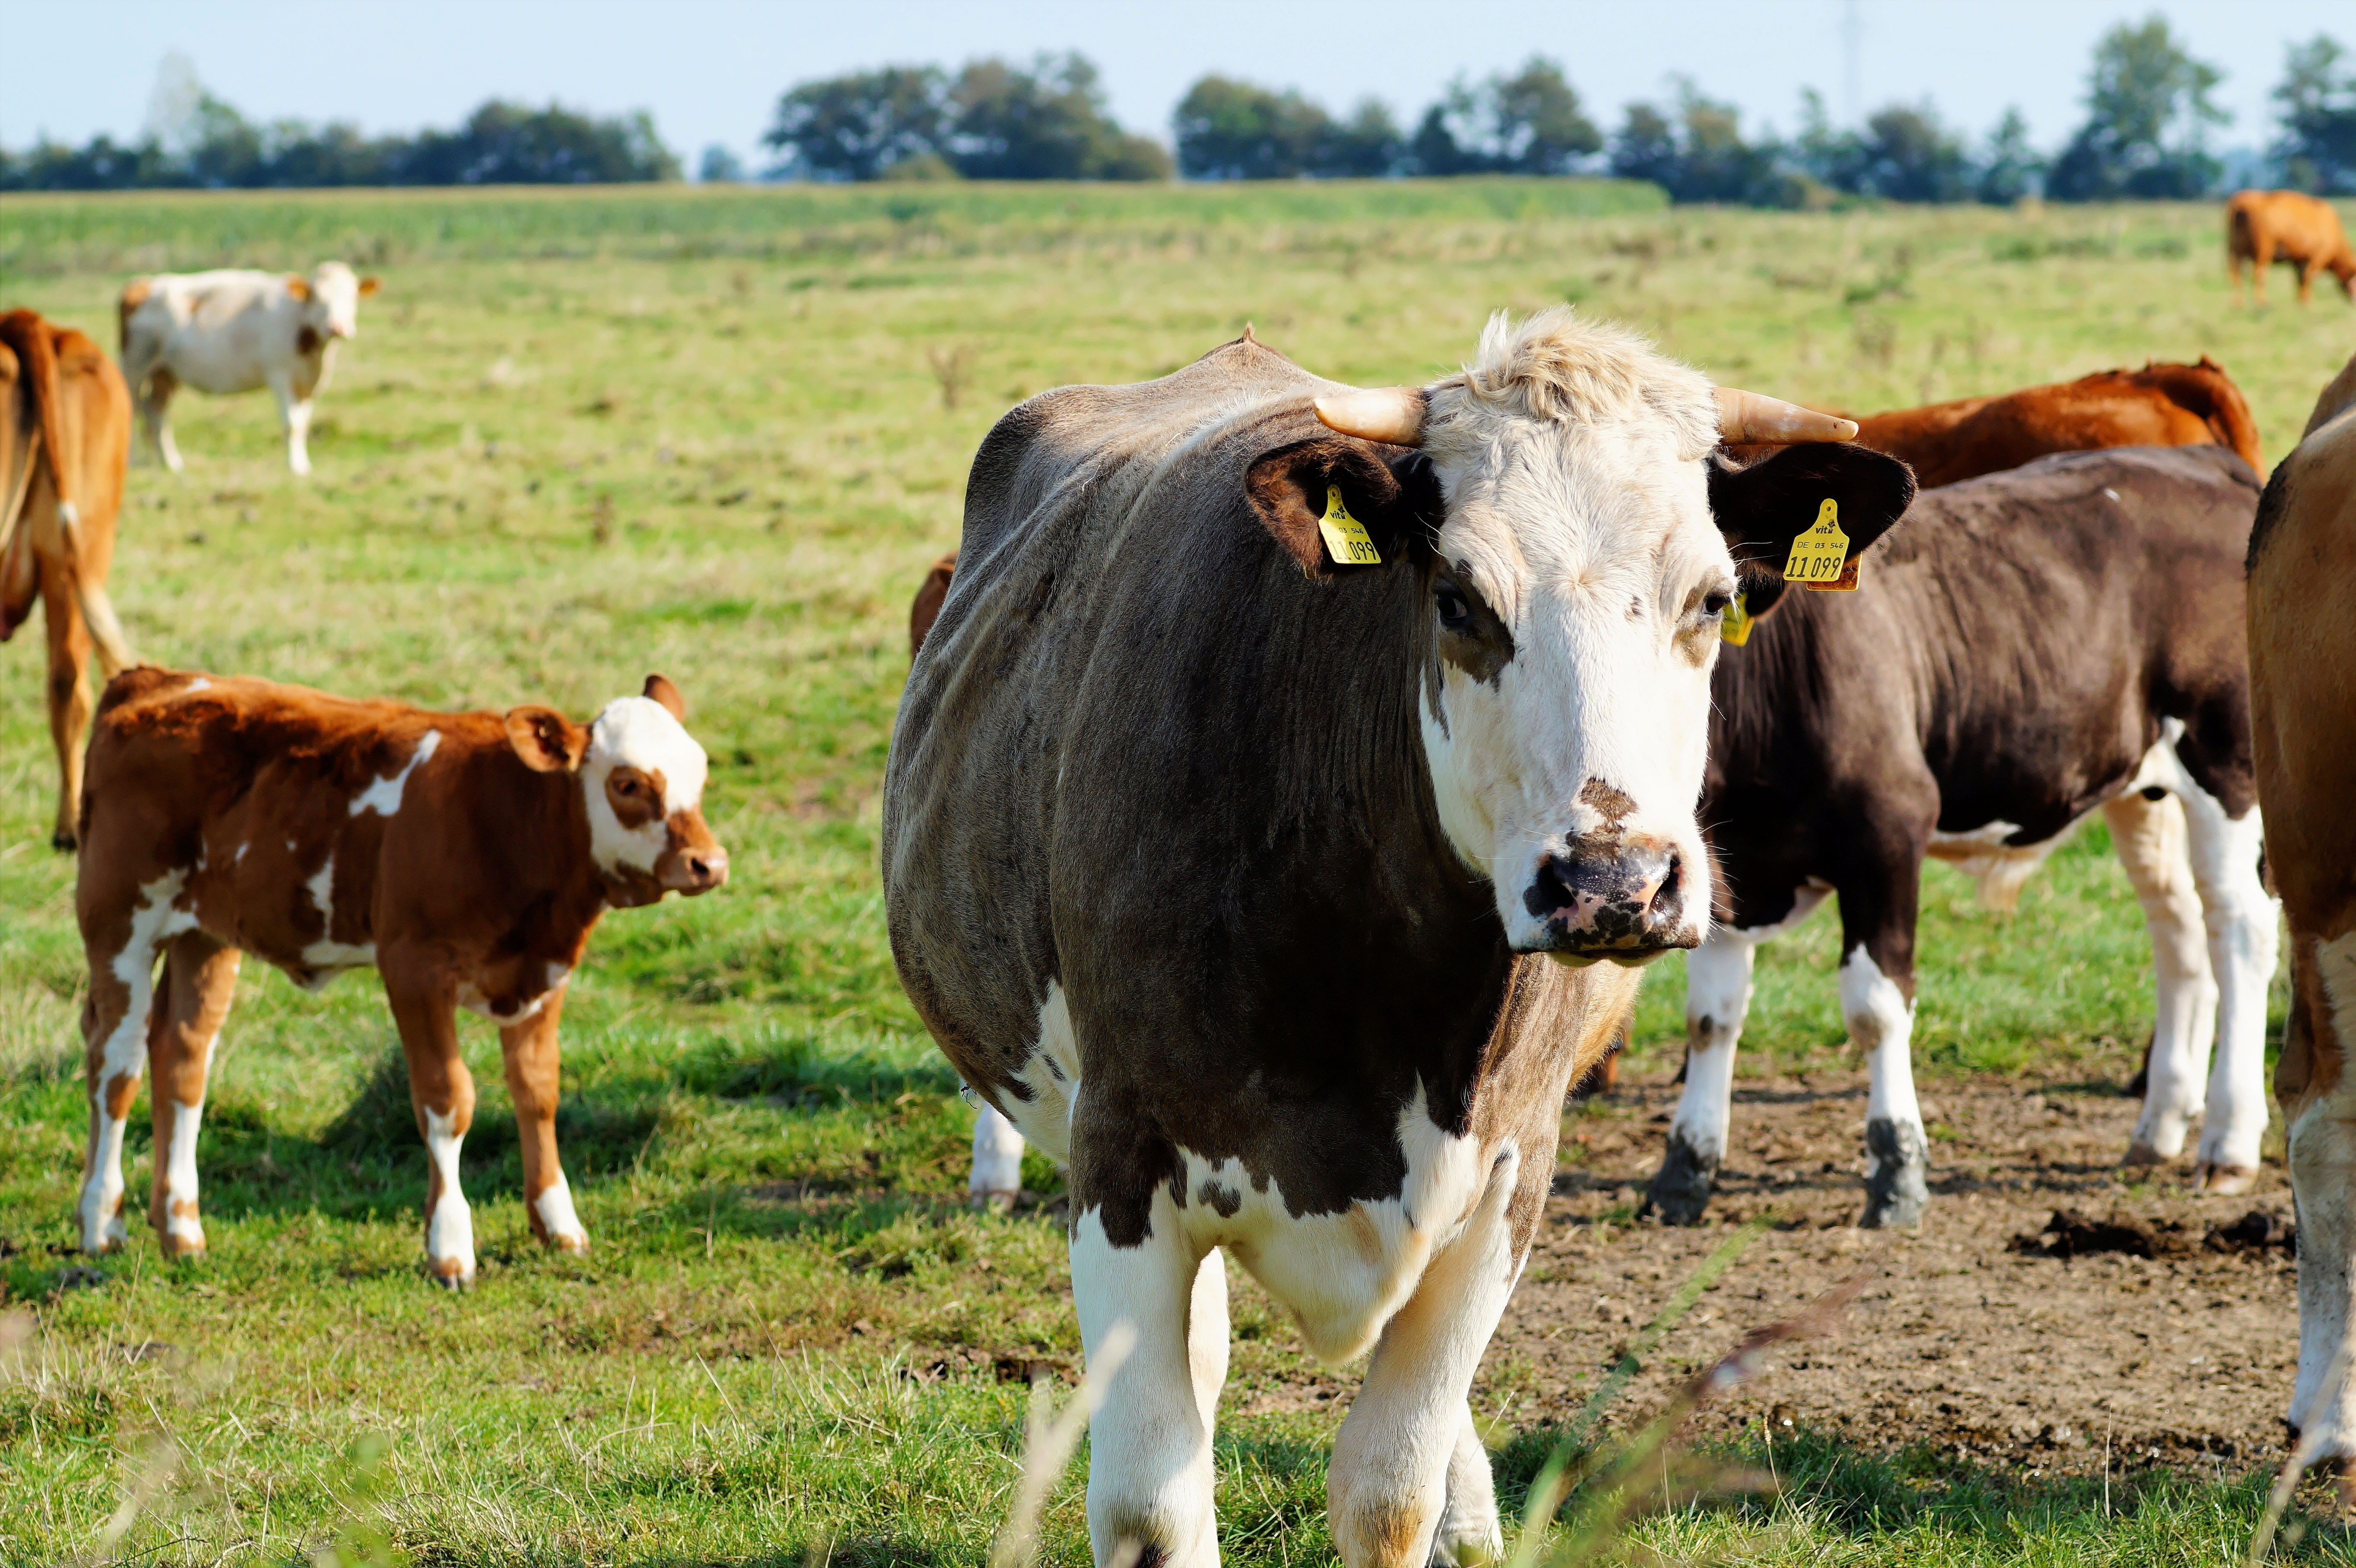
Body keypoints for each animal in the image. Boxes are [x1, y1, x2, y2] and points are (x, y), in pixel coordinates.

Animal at [72, 668, 727, 1283]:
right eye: (628, 784)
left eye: (699, 772)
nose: (709, 863)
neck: (505, 818)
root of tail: (152, 679)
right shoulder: (415, 969)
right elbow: (448, 1100)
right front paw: (450, 1247)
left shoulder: (544, 972)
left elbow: (538, 1093)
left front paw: (559, 1225)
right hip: (119, 923)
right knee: (117, 1063)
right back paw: (101, 1223)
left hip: (205, 937)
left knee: (182, 1058)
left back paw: (181, 1230)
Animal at [118, 262, 381, 476]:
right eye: (318, 298)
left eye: (352, 298)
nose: (337, 327)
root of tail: (141, 284)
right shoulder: (280, 374)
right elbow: (292, 424)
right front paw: (295, 468)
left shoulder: (307, 384)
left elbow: (303, 424)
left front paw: (304, 465)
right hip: (134, 366)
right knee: (132, 408)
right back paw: (129, 463)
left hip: (166, 373)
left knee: (156, 412)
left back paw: (172, 464)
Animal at [882, 313, 1913, 1567]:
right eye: (1460, 598)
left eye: (1711, 599)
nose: (1611, 882)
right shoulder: (1120, 1168)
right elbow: (1151, 1502)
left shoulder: (1505, 1181)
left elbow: (1391, 1488)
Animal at [1642, 443, 2275, 1231]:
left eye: (1711, 596)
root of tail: (2200, 460)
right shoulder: (1724, 862)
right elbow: (1710, 1016)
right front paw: (1684, 1170)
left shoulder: (1888, 829)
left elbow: (1877, 1007)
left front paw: (1897, 1171)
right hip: (2140, 782)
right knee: (2179, 926)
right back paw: (2158, 1126)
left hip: (2227, 755)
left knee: (2239, 928)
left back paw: (2229, 1140)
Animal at [2228, 191, 2356, 307]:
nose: (2353, 302)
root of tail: (2242, 203)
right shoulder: (2319, 256)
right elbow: (2307, 277)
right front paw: (2308, 302)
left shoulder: (2299, 260)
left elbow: (2300, 279)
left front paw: (2301, 301)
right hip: (2263, 251)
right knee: (2258, 274)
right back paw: (2262, 303)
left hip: (2235, 251)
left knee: (2236, 274)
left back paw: (2238, 304)